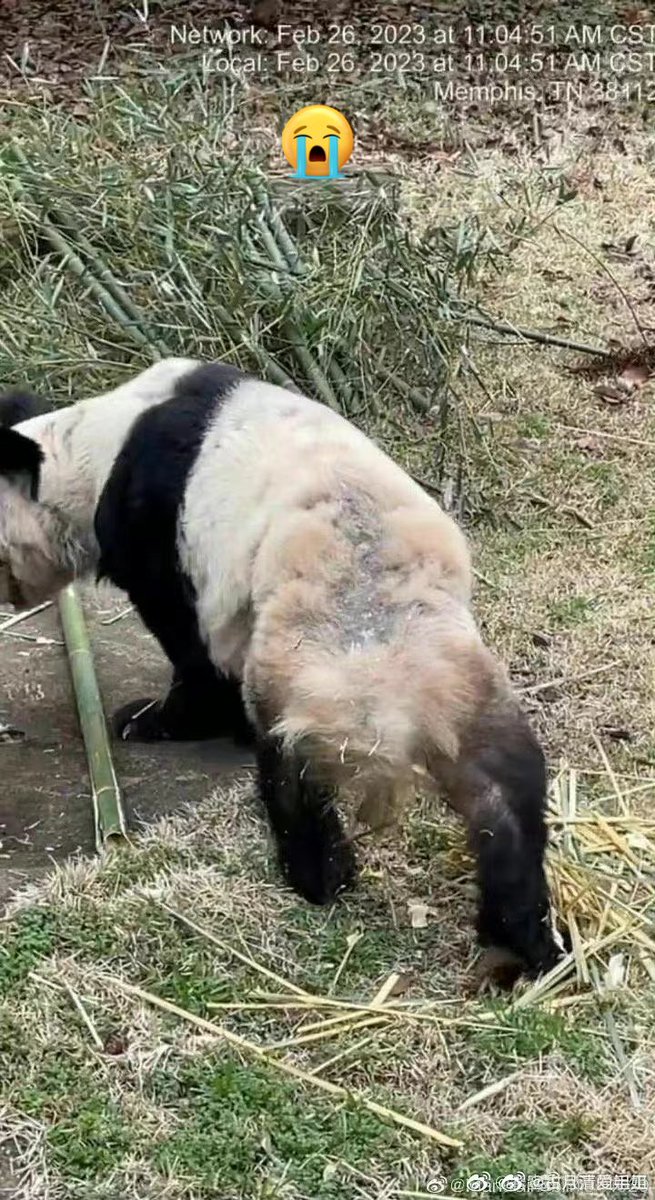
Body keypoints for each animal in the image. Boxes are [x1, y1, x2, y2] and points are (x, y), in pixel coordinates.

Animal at [0, 359, 565, 981]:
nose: (6, 595)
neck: (86, 447)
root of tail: (395, 714)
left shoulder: (154, 527)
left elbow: (186, 639)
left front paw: (153, 720)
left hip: (307, 674)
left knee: (291, 774)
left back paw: (318, 874)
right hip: (463, 679)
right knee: (506, 795)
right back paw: (526, 939)